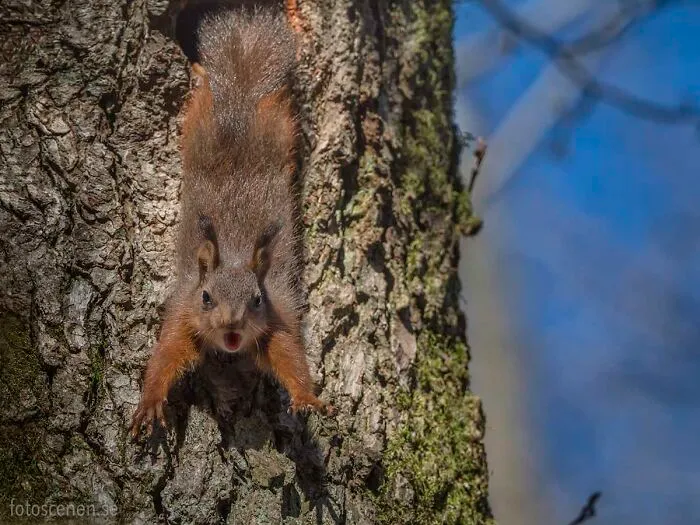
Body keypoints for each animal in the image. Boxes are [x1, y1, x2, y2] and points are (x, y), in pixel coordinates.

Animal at [131, 7, 330, 438]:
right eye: (206, 297)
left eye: (257, 300)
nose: (231, 323)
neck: (237, 254)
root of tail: (241, 89)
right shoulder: (183, 309)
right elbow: (165, 354)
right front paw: (150, 400)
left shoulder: (278, 315)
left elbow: (289, 357)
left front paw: (306, 397)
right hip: (202, 116)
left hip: (276, 124)